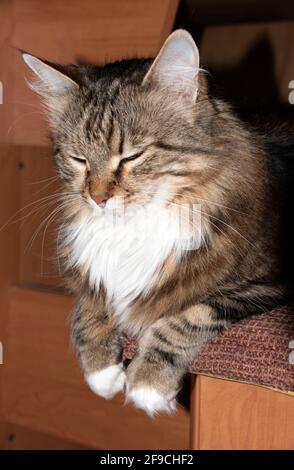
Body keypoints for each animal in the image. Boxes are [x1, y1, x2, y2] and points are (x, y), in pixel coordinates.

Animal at [23, 29, 294, 414]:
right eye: (78, 159)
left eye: (131, 156)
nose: (97, 198)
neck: (137, 224)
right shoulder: (94, 274)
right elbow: (90, 304)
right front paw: (101, 372)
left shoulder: (266, 283)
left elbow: (189, 317)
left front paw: (147, 384)